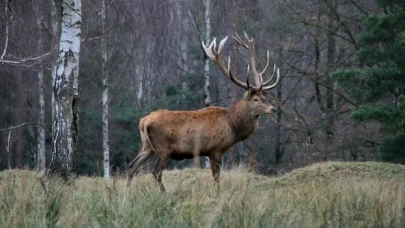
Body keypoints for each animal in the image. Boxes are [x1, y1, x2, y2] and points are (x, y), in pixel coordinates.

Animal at [126, 33, 278, 191]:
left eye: (264, 97)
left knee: (132, 166)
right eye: (255, 99)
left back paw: (127, 192)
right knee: (156, 172)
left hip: (147, 146)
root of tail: (143, 122)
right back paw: (163, 193)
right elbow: (216, 177)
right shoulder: (214, 149)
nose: (273, 109)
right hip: (163, 147)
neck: (232, 126)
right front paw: (217, 192)